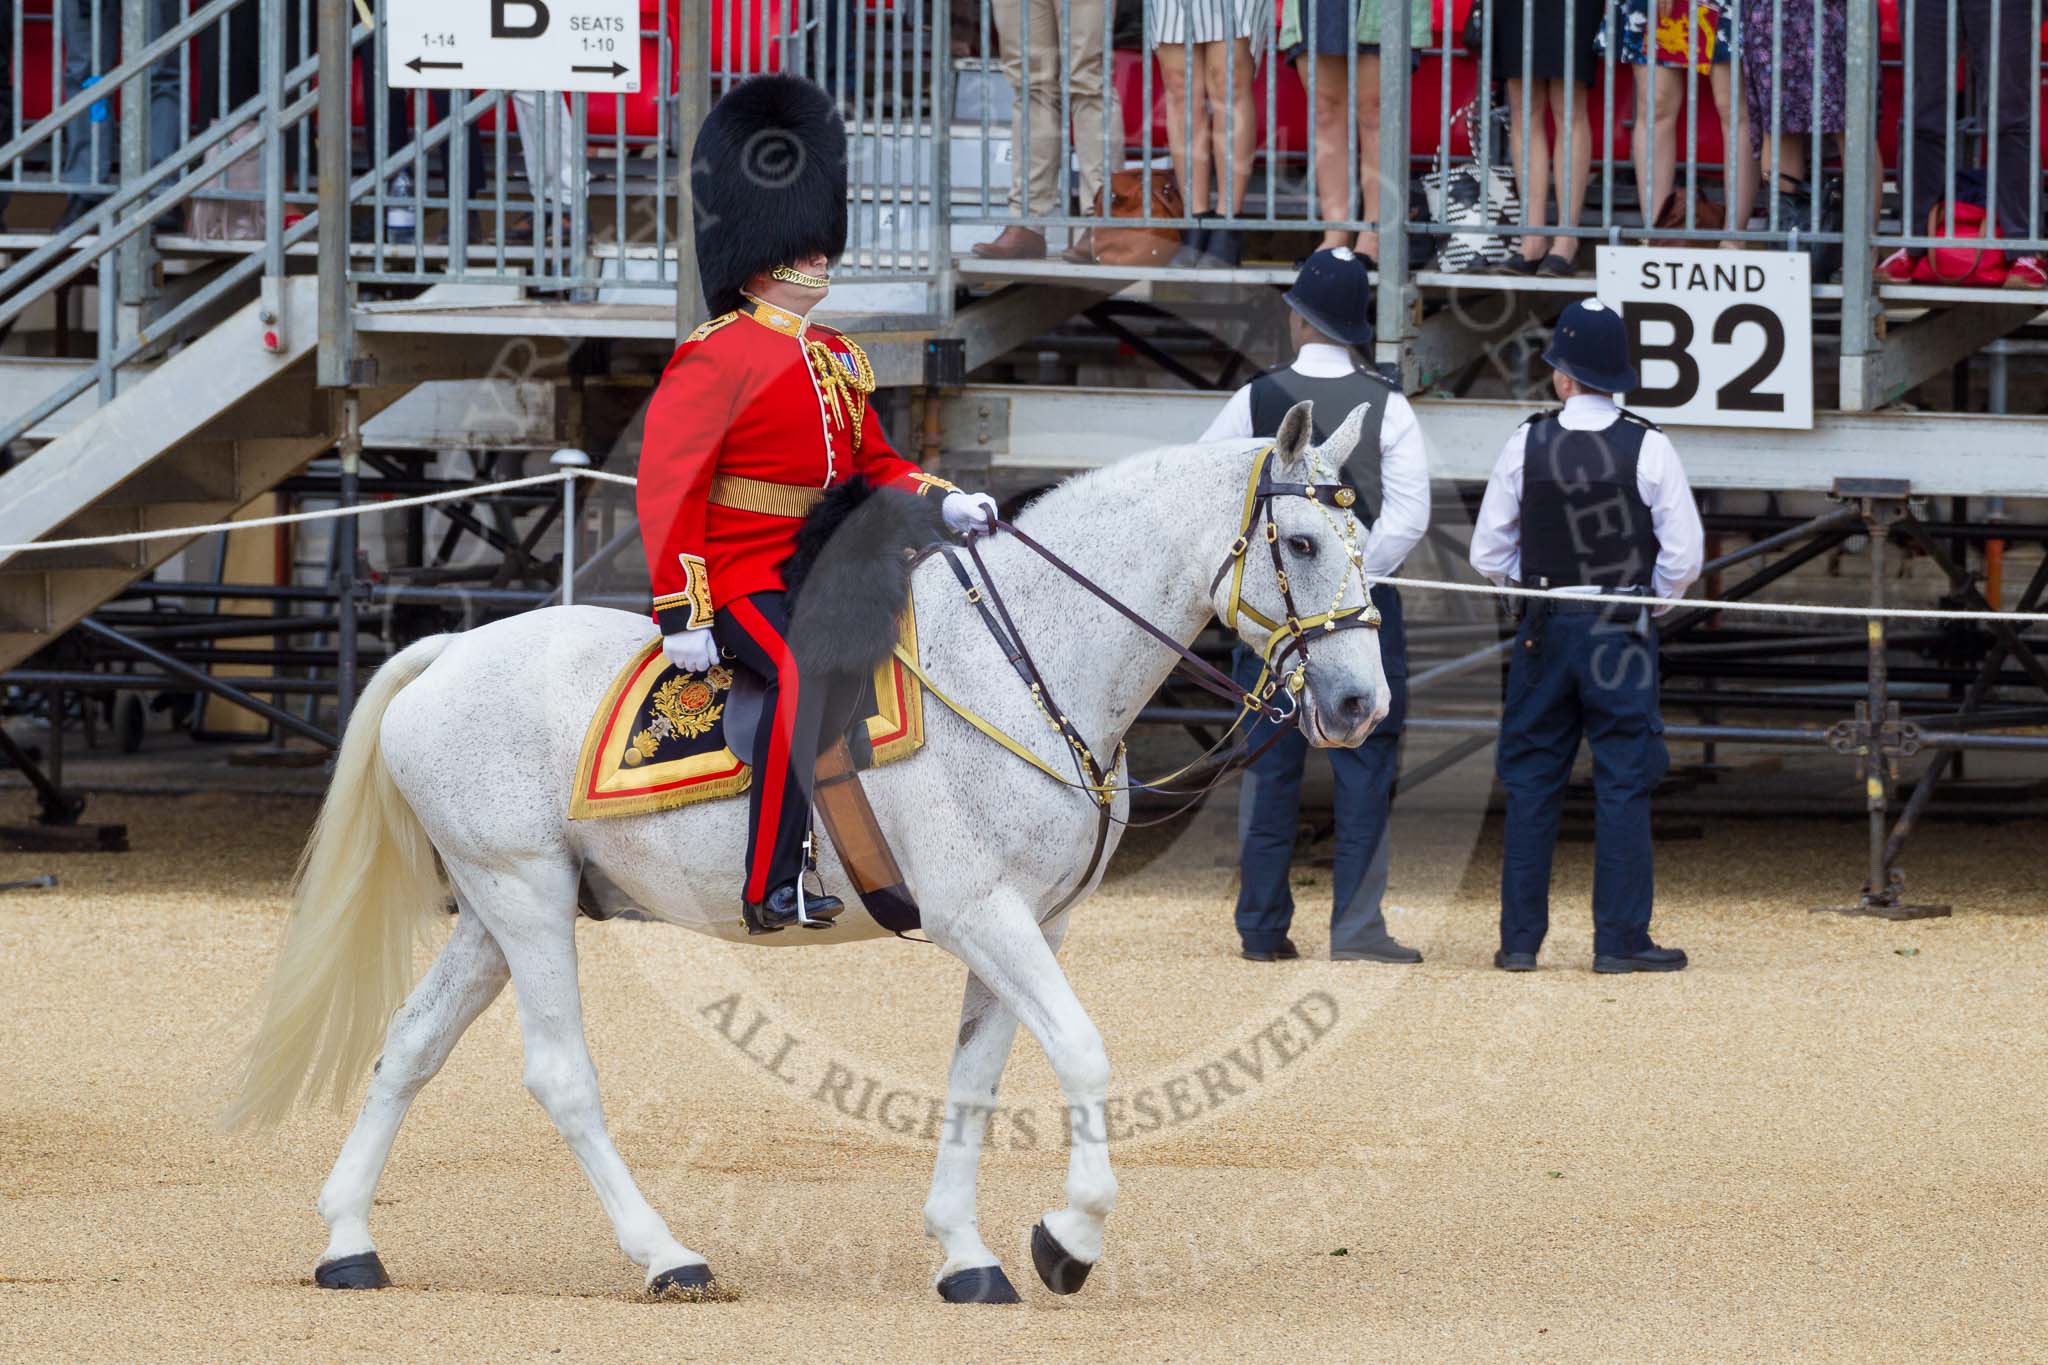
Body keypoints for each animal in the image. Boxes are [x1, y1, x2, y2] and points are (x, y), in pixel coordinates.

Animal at [229, 400, 1393, 1304]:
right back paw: (666, 1256)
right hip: (522, 896)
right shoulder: (980, 912)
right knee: (560, 1074)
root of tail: (447, 653)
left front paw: (966, 1254)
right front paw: (1067, 1239)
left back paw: (348, 1243)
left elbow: (976, 1080)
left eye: (1367, 545)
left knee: (410, 1046)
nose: (1358, 705)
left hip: (493, 909)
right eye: (1298, 546)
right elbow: (1082, 1051)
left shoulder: (1028, 922)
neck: (1020, 660)